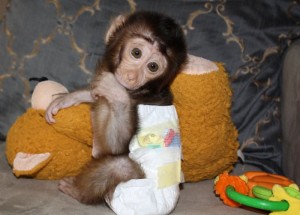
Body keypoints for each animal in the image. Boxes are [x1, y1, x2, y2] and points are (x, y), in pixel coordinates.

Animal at [45, 10, 186, 204]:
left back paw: (76, 191)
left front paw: (116, 94)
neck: (140, 92)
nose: (131, 76)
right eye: (136, 53)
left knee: (119, 165)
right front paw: (70, 97)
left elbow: (114, 148)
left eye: (152, 66)